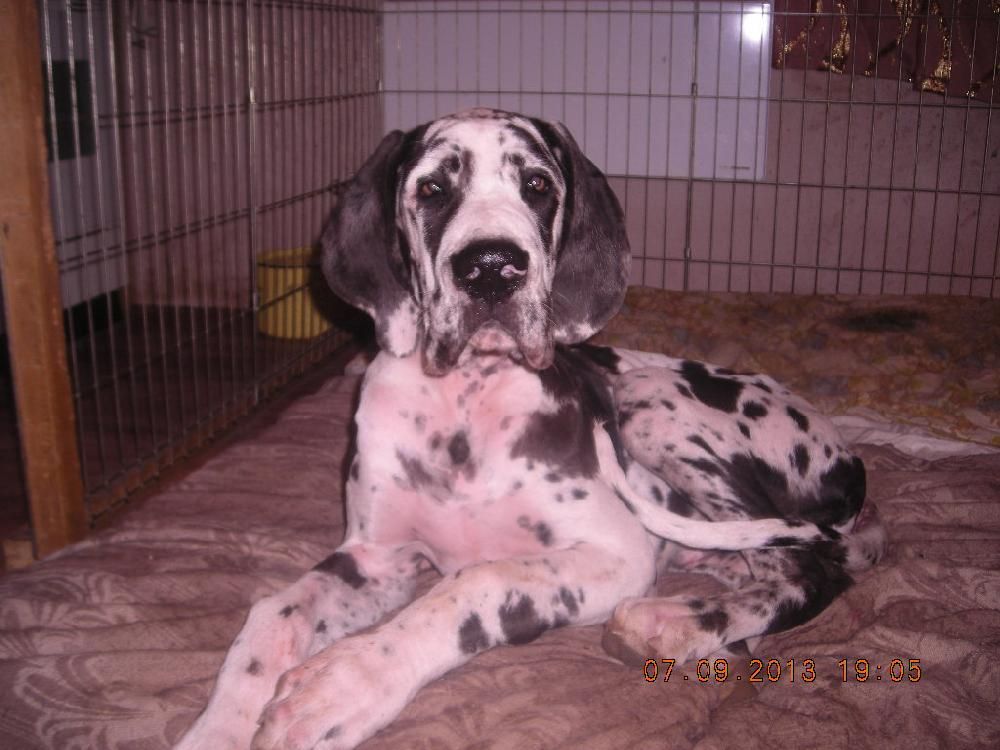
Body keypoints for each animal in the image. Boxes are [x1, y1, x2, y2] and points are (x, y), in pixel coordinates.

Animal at [175, 108, 885, 750]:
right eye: (432, 189)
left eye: (538, 185)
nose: (491, 267)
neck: (466, 403)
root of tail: (852, 463)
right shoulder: (376, 558)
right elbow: (273, 613)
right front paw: (218, 726)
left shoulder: (614, 552)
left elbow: (477, 583)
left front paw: (346, 683)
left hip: (647, 400)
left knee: (814, 572)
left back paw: (673, 621)